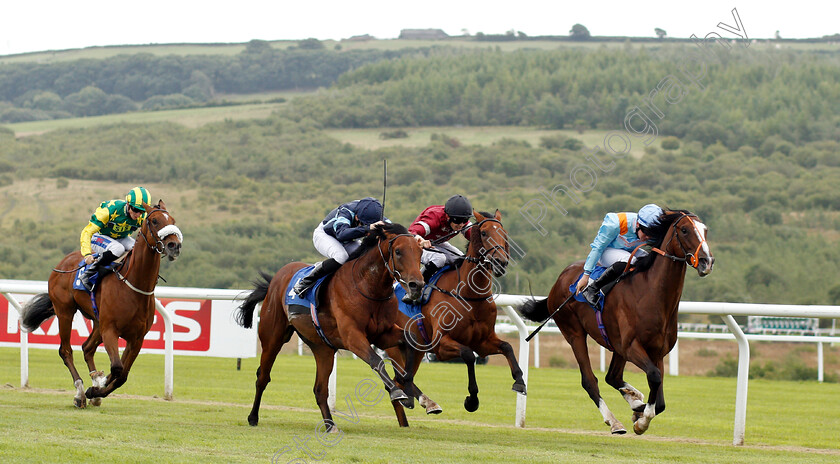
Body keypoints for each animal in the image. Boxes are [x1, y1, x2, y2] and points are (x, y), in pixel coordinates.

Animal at [18, 201, 182, 408]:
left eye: (173, 220)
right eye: (154, 221)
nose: (174, 245)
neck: (133, 285)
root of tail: (63, 263)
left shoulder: (136, 338)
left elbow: (122, 375)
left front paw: (97, 388)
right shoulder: (110, 330)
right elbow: (117, 367)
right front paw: (95, 385)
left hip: (97, 321)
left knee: (87, 348)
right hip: (65, 311)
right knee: (66, 350)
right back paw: (80, 392)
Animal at [235, 221, 426, 428]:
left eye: (420, 252)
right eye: (398, 251)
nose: (417, 285)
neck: (368, 287)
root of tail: (275, 280)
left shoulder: (382, 334)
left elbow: (410, 340)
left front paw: (410, 391)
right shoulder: (352, 336)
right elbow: (377, 361)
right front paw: (397, 392)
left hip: (322, 348)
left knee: (320, 389)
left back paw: (330, 425)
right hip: (273, 338)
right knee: (262, 377)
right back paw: (253, 417)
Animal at [386, 210, 524, 414]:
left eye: (504, 233)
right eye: (484, 233)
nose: (501, 262)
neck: (470, 296)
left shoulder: (482, 342)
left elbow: (507, 347)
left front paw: (520, 381)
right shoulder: (441, 344)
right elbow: (468, 355)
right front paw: (472, 400)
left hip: (416, 349)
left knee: (403, 378)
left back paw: (420, 401)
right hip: (394, 346)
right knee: (400, 378)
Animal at [520, 210, 712, 436]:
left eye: (705, 230)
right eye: (684, 230)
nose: (707, 261)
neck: (651, 294)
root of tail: (559, 280)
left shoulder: (656, 352)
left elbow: (660, 400)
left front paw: (640, 410)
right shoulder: (632, 347)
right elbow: (654, 377)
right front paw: (641, 421)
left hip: (616, 346)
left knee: (612, 377)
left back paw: (634, 398)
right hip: (575, 334)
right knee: (590, 380)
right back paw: (614, 421)